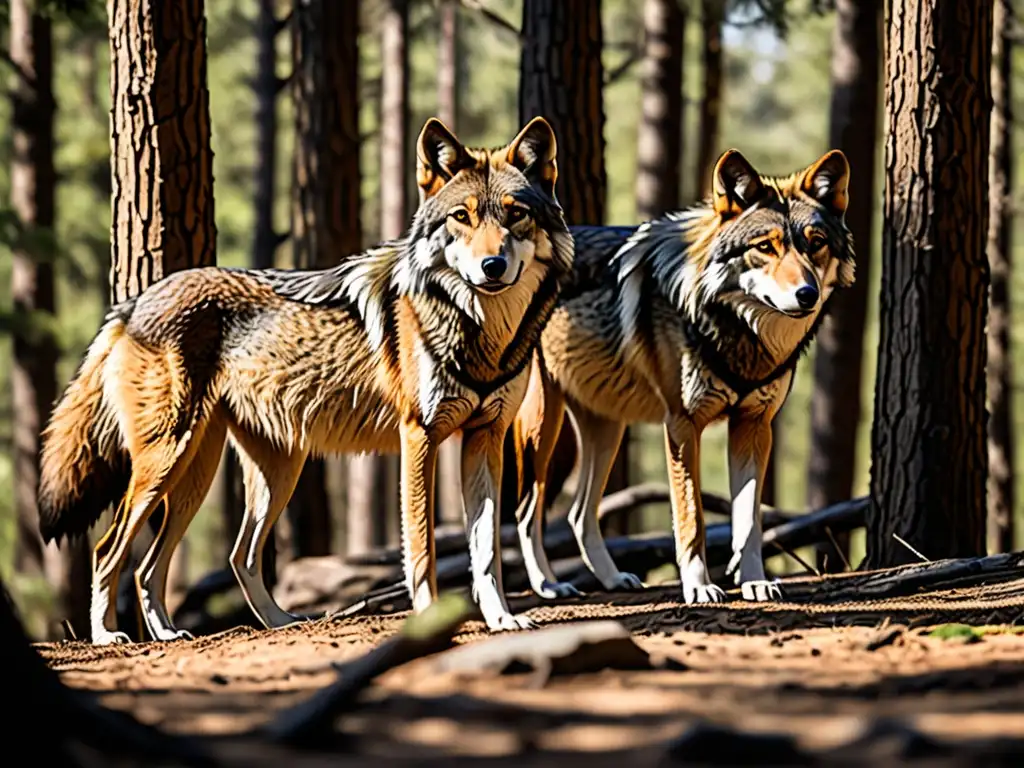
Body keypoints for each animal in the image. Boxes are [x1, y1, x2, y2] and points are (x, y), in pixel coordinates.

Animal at [37, 115, 577, 643]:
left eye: (515, 214)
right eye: (461, 217)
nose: (492, 266)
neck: (479, 328)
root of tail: (134, 302)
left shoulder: (487, 437)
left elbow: (485, 552)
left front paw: (501, 620)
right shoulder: (418, 439)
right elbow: (423, 551)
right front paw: (429, 621)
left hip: (244, 472)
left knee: (214, 559)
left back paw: (225, 628)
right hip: (168, 464)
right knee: (109, 550)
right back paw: (108, 635)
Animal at [512, 147, 856, 606]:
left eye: (815, 244)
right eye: (766, 247)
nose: (807, 294)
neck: (737, 331)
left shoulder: (754, 426)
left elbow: (750, 521)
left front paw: (754, 582)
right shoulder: (681, 426)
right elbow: (692, 517)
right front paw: (699, 587)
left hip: (607, 430)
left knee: (578, 514)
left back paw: (612, 579)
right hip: (543, 427)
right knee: (525, 512)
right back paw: (548, 584)